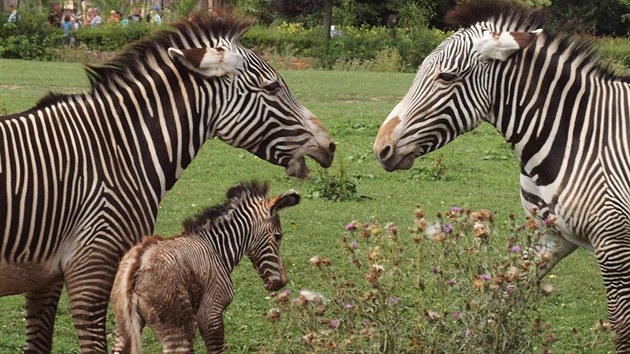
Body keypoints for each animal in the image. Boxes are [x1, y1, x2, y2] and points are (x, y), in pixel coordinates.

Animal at [111, 181, 302, 352]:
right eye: (278, 236)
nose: (282, 282)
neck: (216, 248)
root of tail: (139, 261)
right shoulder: (211, 314)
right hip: (179, 328)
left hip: (123, 326)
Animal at [376, 0, 630, 352]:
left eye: (446, 77)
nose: (381, 147)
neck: (580, 137)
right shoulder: (550, 236)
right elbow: (501, 297)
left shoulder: (614, 245)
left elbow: (622, 329)